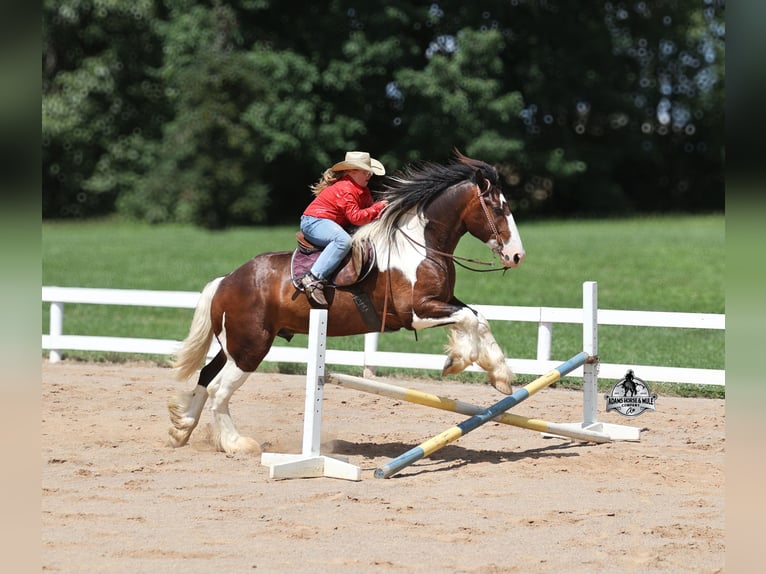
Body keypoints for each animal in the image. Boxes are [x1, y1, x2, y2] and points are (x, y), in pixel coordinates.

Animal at [168, 152, 526, 454]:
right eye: (499, 208)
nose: (517, 256)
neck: (421, 245)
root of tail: (226, 280)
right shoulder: (418, 311)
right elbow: (469, 319)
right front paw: (460, 361)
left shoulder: (443, 300)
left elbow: (478, 318)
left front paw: (498, 375)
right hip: (250, 349)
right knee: (218, 390)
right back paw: (237, 444)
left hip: (233, 346)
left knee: (205, 377)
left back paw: (182, 429)